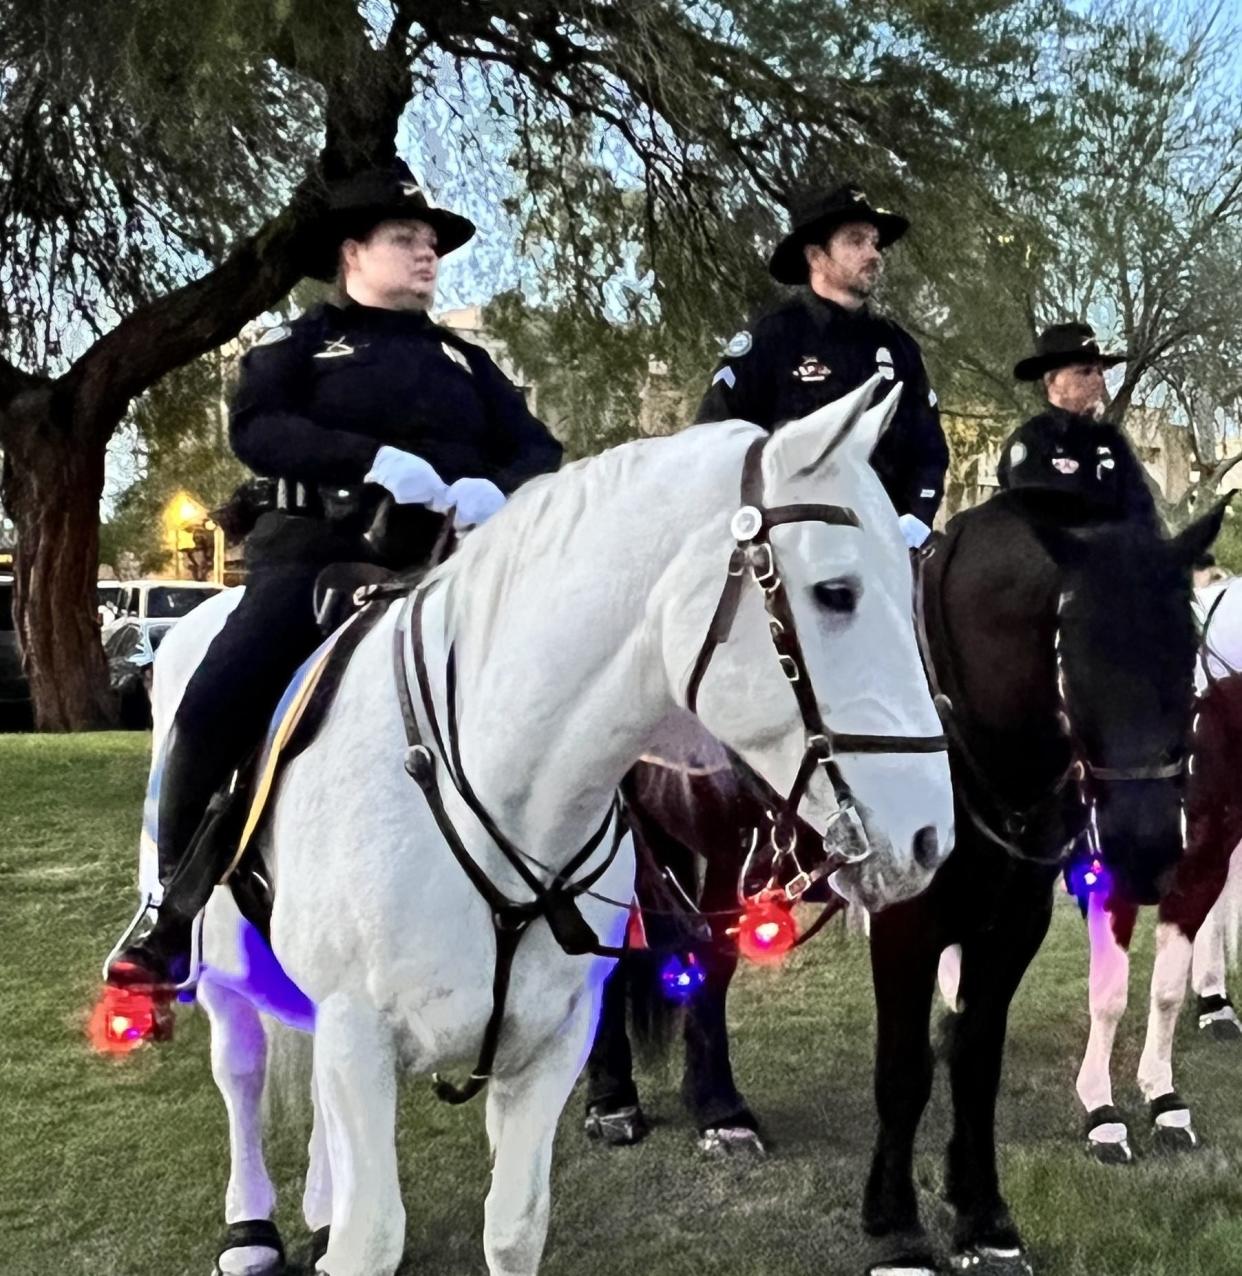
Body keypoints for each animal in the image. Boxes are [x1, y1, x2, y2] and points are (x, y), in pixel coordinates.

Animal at [130, 377, 954, 1276]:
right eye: (837, 592)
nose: (931, 838)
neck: (496, 788)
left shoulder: (546, 1047)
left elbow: (514, 1226)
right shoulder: (360, 1033)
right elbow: (372, 1237)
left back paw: (319, 1201)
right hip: (219, 957)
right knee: (240, 1070)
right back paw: (252, 1227)